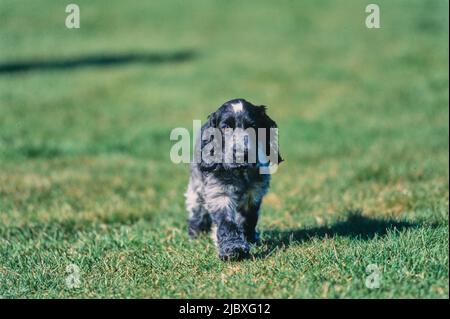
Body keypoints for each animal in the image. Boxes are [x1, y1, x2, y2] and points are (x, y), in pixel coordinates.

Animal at [185, 99, 284, 262]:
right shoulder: (219, 193)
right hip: (197, 185)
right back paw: (195, 233)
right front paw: (233, 249)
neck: (240, 172)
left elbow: (247, 220)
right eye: (225, 127)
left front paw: (248, 239)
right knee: (196, 210)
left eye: (252, 127)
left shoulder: (254, 194)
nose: (240, 154)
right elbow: (226, 222)